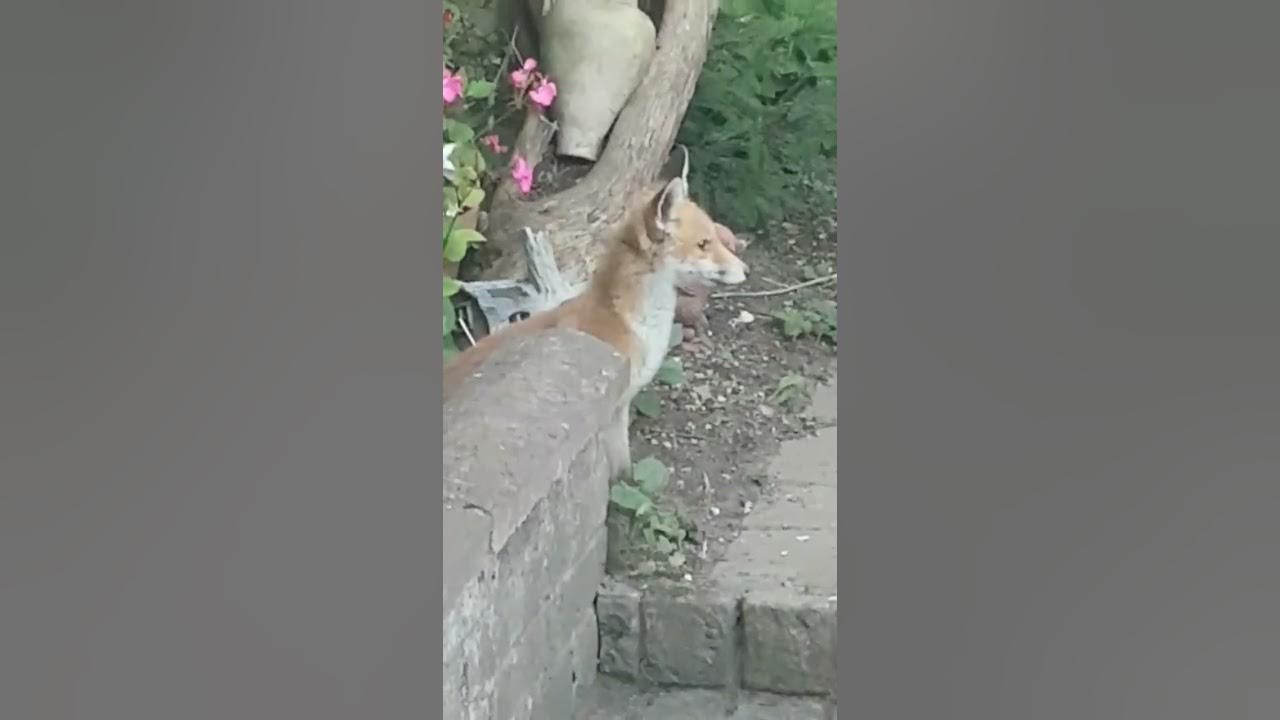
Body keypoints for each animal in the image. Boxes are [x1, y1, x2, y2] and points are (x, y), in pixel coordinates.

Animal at [443, 174, 749, 481]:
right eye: (703, 244)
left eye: (714, 239)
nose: (746, 270)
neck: (632, 326)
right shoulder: (608, 411)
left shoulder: (619, 408)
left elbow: (625, 469)